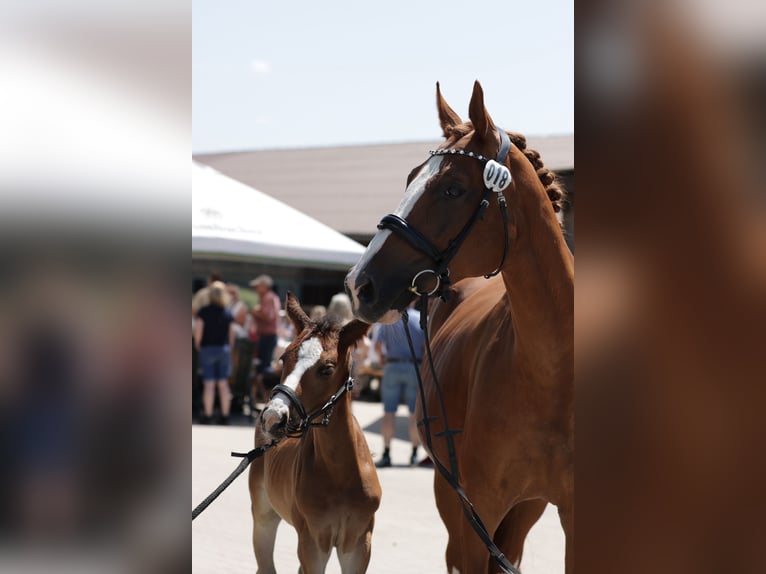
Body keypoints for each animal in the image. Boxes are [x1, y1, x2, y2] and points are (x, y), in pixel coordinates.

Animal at [248, 292, 381, 574]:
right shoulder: (312, 540)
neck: (340, 473)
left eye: (327, 369)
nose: (273, 418)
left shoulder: (359, 542)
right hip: (263, 515)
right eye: (283, 358)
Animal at [345, 81, 573, 573]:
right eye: (411, 177)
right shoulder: (475, 512)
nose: (359, 284)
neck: (552, 375)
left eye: (453, 188)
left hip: (526, 508)